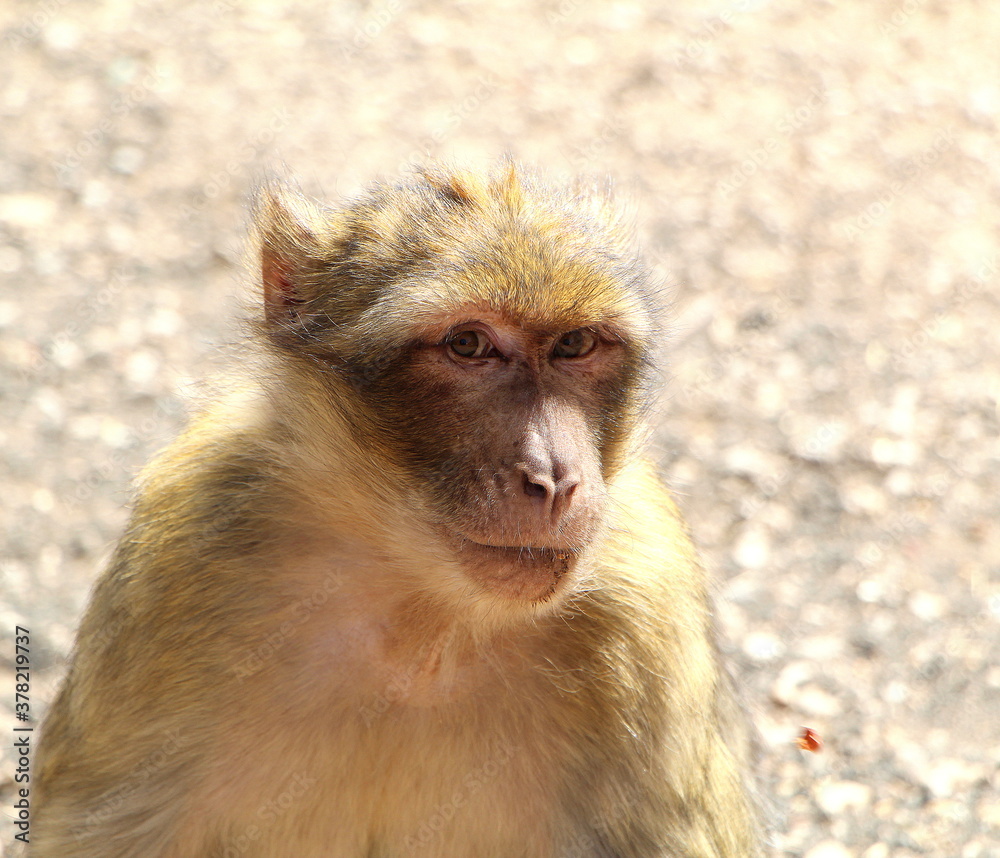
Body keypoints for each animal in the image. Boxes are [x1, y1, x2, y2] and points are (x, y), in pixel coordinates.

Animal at [29, 164, 766, 858]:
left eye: (575, 346)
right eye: (469, 345)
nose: (556, 478)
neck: (421, 615)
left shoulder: (647, 606)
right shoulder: (179, 558)